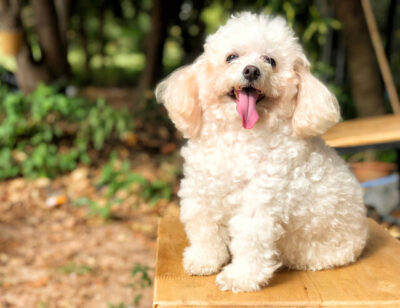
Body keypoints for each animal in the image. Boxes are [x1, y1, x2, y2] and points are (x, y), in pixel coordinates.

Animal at [155, 12, 368, 292]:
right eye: (231, 57)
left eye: (270, 61)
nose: (251, 70)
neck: (238, 136)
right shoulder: (203, 191)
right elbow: (205, 230)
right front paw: (204, 260)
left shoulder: (259, 204)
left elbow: (249, 242)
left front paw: (240, 277)